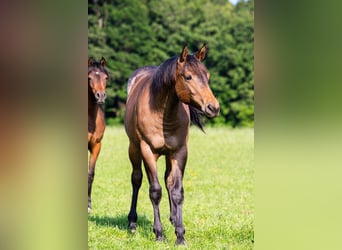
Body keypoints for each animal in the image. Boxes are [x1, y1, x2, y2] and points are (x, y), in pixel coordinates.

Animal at [125, 43, 219, 244]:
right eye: (188, 76)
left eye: (207, 77)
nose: (213, 107)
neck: (162, 112)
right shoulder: (148, 151)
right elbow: (155, 191)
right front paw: (159, 234)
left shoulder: (179, 152)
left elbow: (177, 191)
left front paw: (180, 235)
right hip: (134, 149)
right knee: (136, 179)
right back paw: (132, 224)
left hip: (168, 155)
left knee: (168, 180)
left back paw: (174, 218)